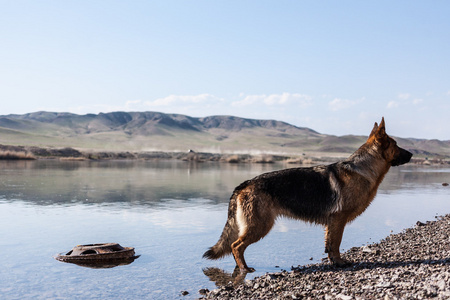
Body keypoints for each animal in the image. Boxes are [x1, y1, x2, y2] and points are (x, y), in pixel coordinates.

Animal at [203, 118, 412, 274]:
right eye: (396, 145)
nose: (411, 154)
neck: (363, 169)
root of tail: (244, 184)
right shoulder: (339, 219)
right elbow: (336, 243)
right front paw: (340, 263)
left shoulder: (332, 223)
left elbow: (330, 244)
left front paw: (334, 262)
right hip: (259, 226)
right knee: (236, 246)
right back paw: (244, 269)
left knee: (235, 246)